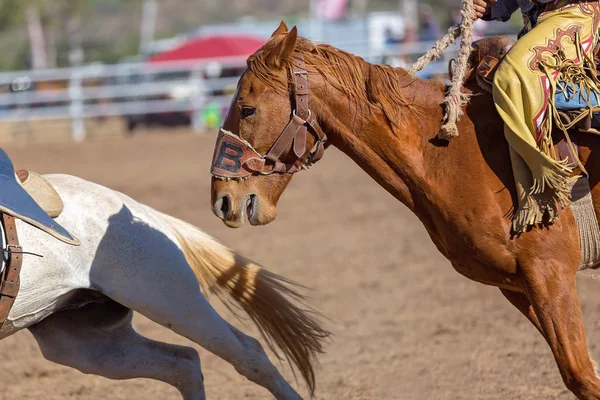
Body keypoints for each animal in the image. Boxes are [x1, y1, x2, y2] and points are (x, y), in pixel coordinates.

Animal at [210, 22, 600, 400]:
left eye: (246, 108)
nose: (222, 199)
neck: (450, 153)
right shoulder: (517, 286)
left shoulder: (549, 274)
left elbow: (581, 375)